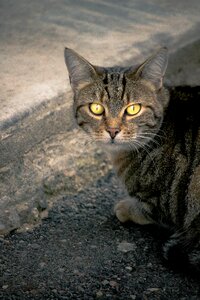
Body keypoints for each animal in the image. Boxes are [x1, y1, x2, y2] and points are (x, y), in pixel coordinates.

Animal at [64, 47, 200, 272]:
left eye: (133, 109)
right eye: (96, 108)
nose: (112, 131)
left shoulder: (165, 201)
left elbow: (147, 210)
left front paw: (125, 208)